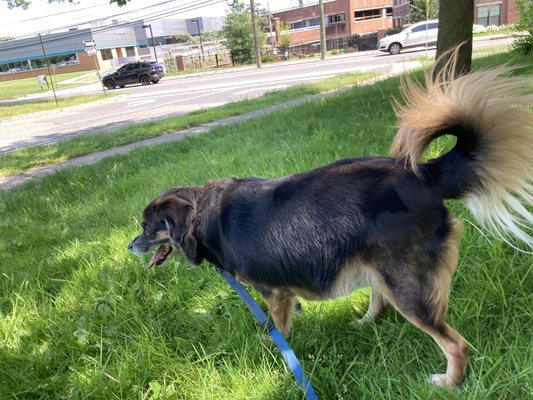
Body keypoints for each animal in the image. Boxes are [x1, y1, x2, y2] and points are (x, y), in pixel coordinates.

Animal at [129, 54, 532, 390]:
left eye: (148, 228)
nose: (130, 246)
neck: (206, 217)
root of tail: (425, 176)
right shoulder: (284, 289)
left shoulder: (271, 292)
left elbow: (276, 325)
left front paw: (271, 345)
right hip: (380, 267)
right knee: (380, 303)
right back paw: (363, 324)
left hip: (408, 285)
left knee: (455, 343)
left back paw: (449, 382)